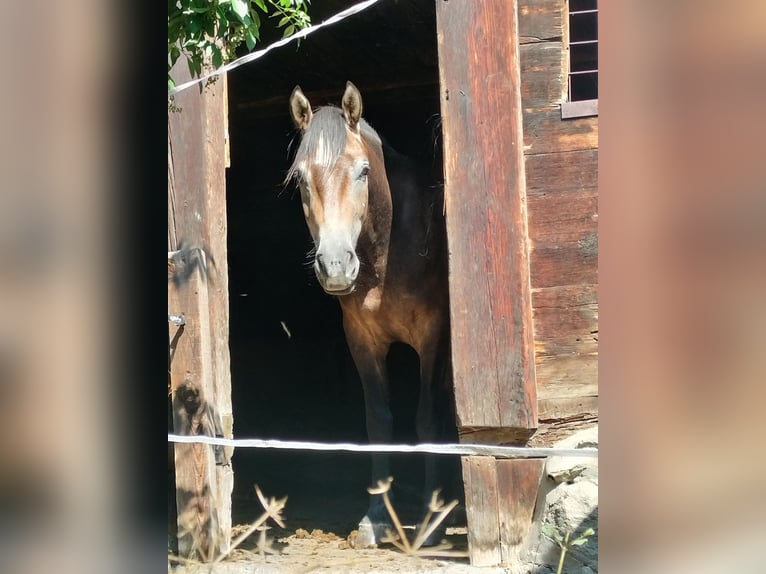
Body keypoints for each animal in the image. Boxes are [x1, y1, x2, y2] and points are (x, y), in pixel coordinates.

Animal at [286, 82, 458, 547]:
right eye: (301, 179)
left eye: (363, 171)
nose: (335, 265)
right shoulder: (361, 339)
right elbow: (378, 421)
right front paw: (376, 517)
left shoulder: (433, 335)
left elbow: (427, 419)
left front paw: (431, 519)